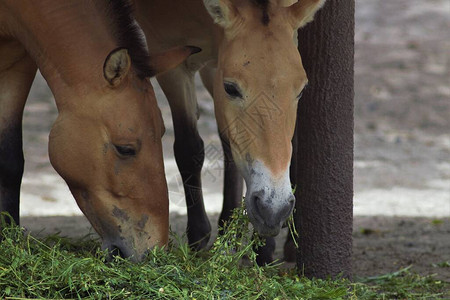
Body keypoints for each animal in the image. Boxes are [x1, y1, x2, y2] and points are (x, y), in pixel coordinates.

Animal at [134, 0, 324, 262]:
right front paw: (201, 236)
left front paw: (263, 244)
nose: (273, 208)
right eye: (231, 88)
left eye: (302, 90)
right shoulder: (173, 61)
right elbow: (189, 149)